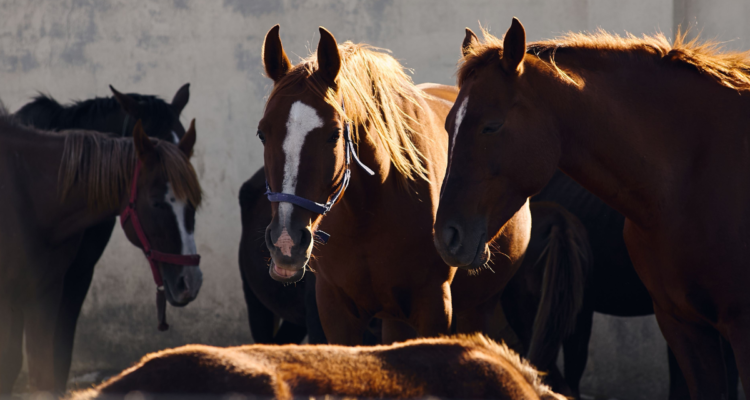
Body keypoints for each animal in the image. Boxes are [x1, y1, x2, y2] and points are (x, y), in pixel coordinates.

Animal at [258, 25, 531, 345]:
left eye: (334, 134)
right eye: (262, 133)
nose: (285, 243)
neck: (369, 212)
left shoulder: (434, 307)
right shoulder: (336, 311)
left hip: (478, 308)